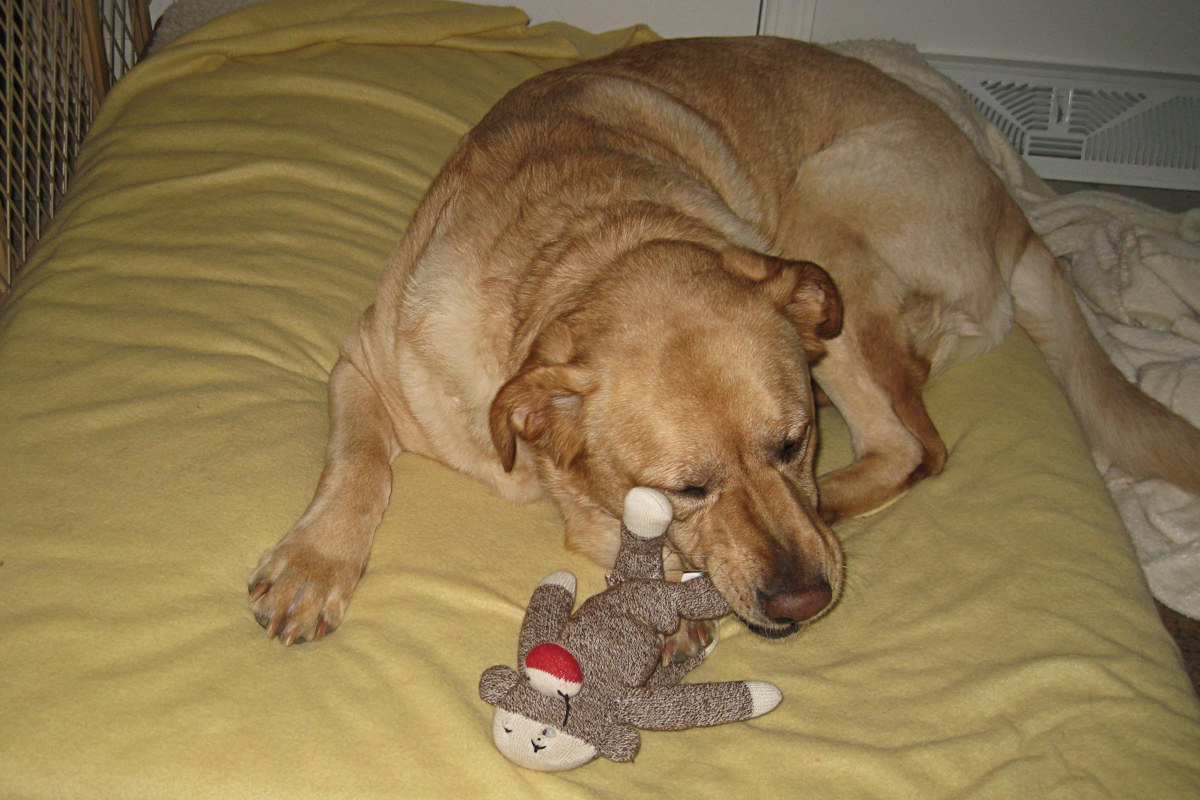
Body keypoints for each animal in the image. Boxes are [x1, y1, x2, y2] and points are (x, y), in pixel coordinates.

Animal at [246, 40, 1200, 647]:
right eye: (685, 489)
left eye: (795, 443)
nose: (809, 599)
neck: (593, 246)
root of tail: (1015, 212)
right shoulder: (364, 361)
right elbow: (358, 464)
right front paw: (314, 564)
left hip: (825, 222)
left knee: (912, 444)